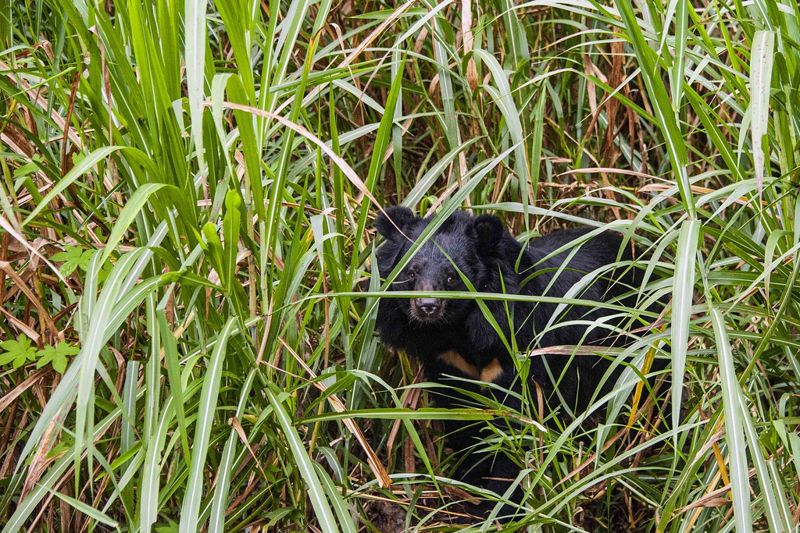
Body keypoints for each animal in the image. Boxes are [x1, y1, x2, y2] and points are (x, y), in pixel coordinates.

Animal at [374, 206, 662, 520]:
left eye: (452, 277)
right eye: (411, 272)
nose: (427, 306)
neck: (459, 331)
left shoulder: (522, 351)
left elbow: (515, 427)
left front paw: (497, 507)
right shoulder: (448, 362)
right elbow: (461, 422)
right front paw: (470, 489)